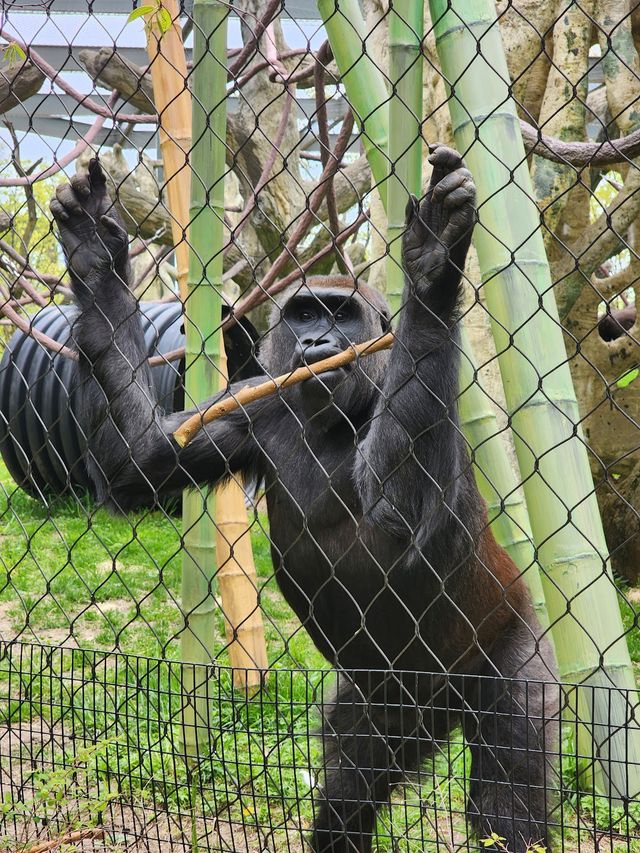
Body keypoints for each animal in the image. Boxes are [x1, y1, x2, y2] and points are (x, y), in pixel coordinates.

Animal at [51, 146, 556, 852]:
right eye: (306, 314)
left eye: (341, 315)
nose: (319, 343)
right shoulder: (247, 404)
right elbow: (139, 462)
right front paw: (95, 257)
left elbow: (400, 508)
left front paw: (432, 268)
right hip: (382, 709)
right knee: (349, 786)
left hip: (511, 649)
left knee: (509, 788)